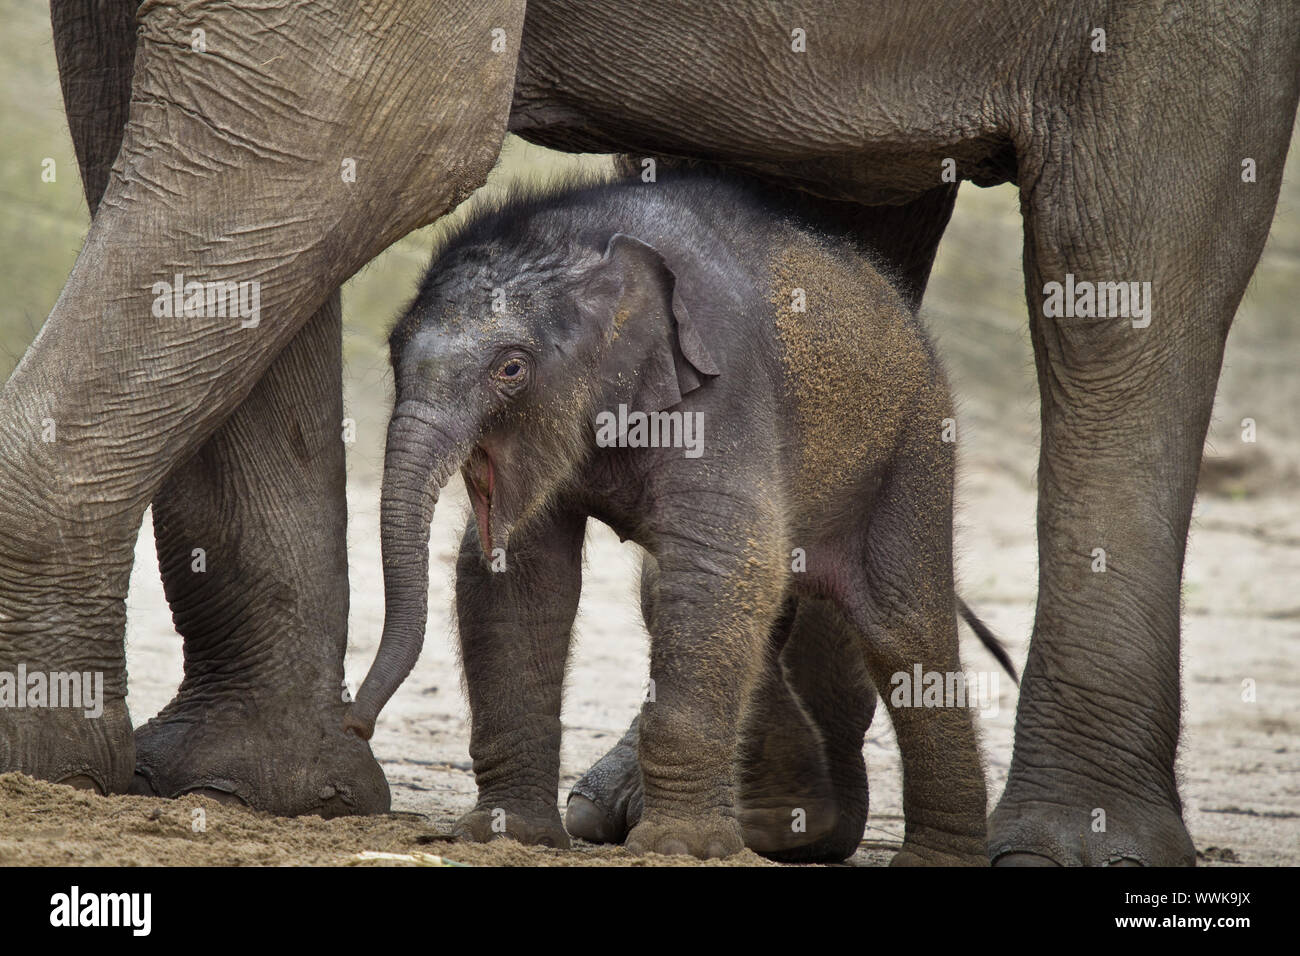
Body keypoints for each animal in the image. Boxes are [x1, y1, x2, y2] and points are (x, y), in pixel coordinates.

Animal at [348, 171, 993, 868]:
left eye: (511, 368)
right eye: (392, 352)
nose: (356, 722)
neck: (586, 242)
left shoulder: (723, 391)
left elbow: (722, 561)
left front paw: (679, 846)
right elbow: (519, 576)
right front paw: (506, 836)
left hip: (914, 445)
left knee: (903, 627)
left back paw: (929, 858)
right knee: (682, 593)